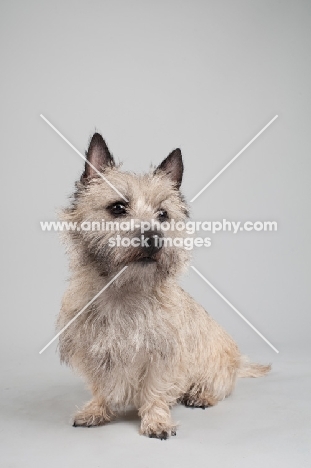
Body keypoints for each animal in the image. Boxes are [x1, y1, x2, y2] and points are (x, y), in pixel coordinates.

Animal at [57, 132, 272, 438]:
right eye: (117, 208)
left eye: (163, 214)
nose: (154, 238)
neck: (125, 290)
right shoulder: (93, 350)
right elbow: (101, 385)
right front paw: (96, 410)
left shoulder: (163, 355)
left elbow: (155, 389)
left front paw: (156, 421)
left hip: (216, 366)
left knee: (217, 386)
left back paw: (200, 394)